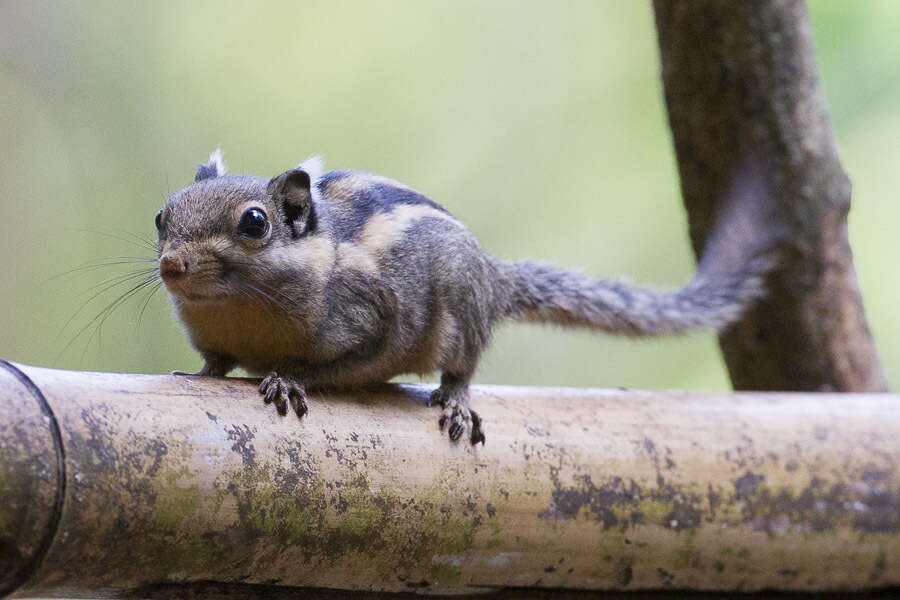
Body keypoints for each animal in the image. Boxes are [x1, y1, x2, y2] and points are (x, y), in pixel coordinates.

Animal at [156, 148, 772, 442]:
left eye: (255, 222)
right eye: (162, 217)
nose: (170, 265)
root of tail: (494, 279)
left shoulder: (370, 316)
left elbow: (334, 361)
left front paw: (288, 376)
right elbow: (215, 361)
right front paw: (202, 373)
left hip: (461, 314)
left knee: (464, 366)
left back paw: (455, 399)